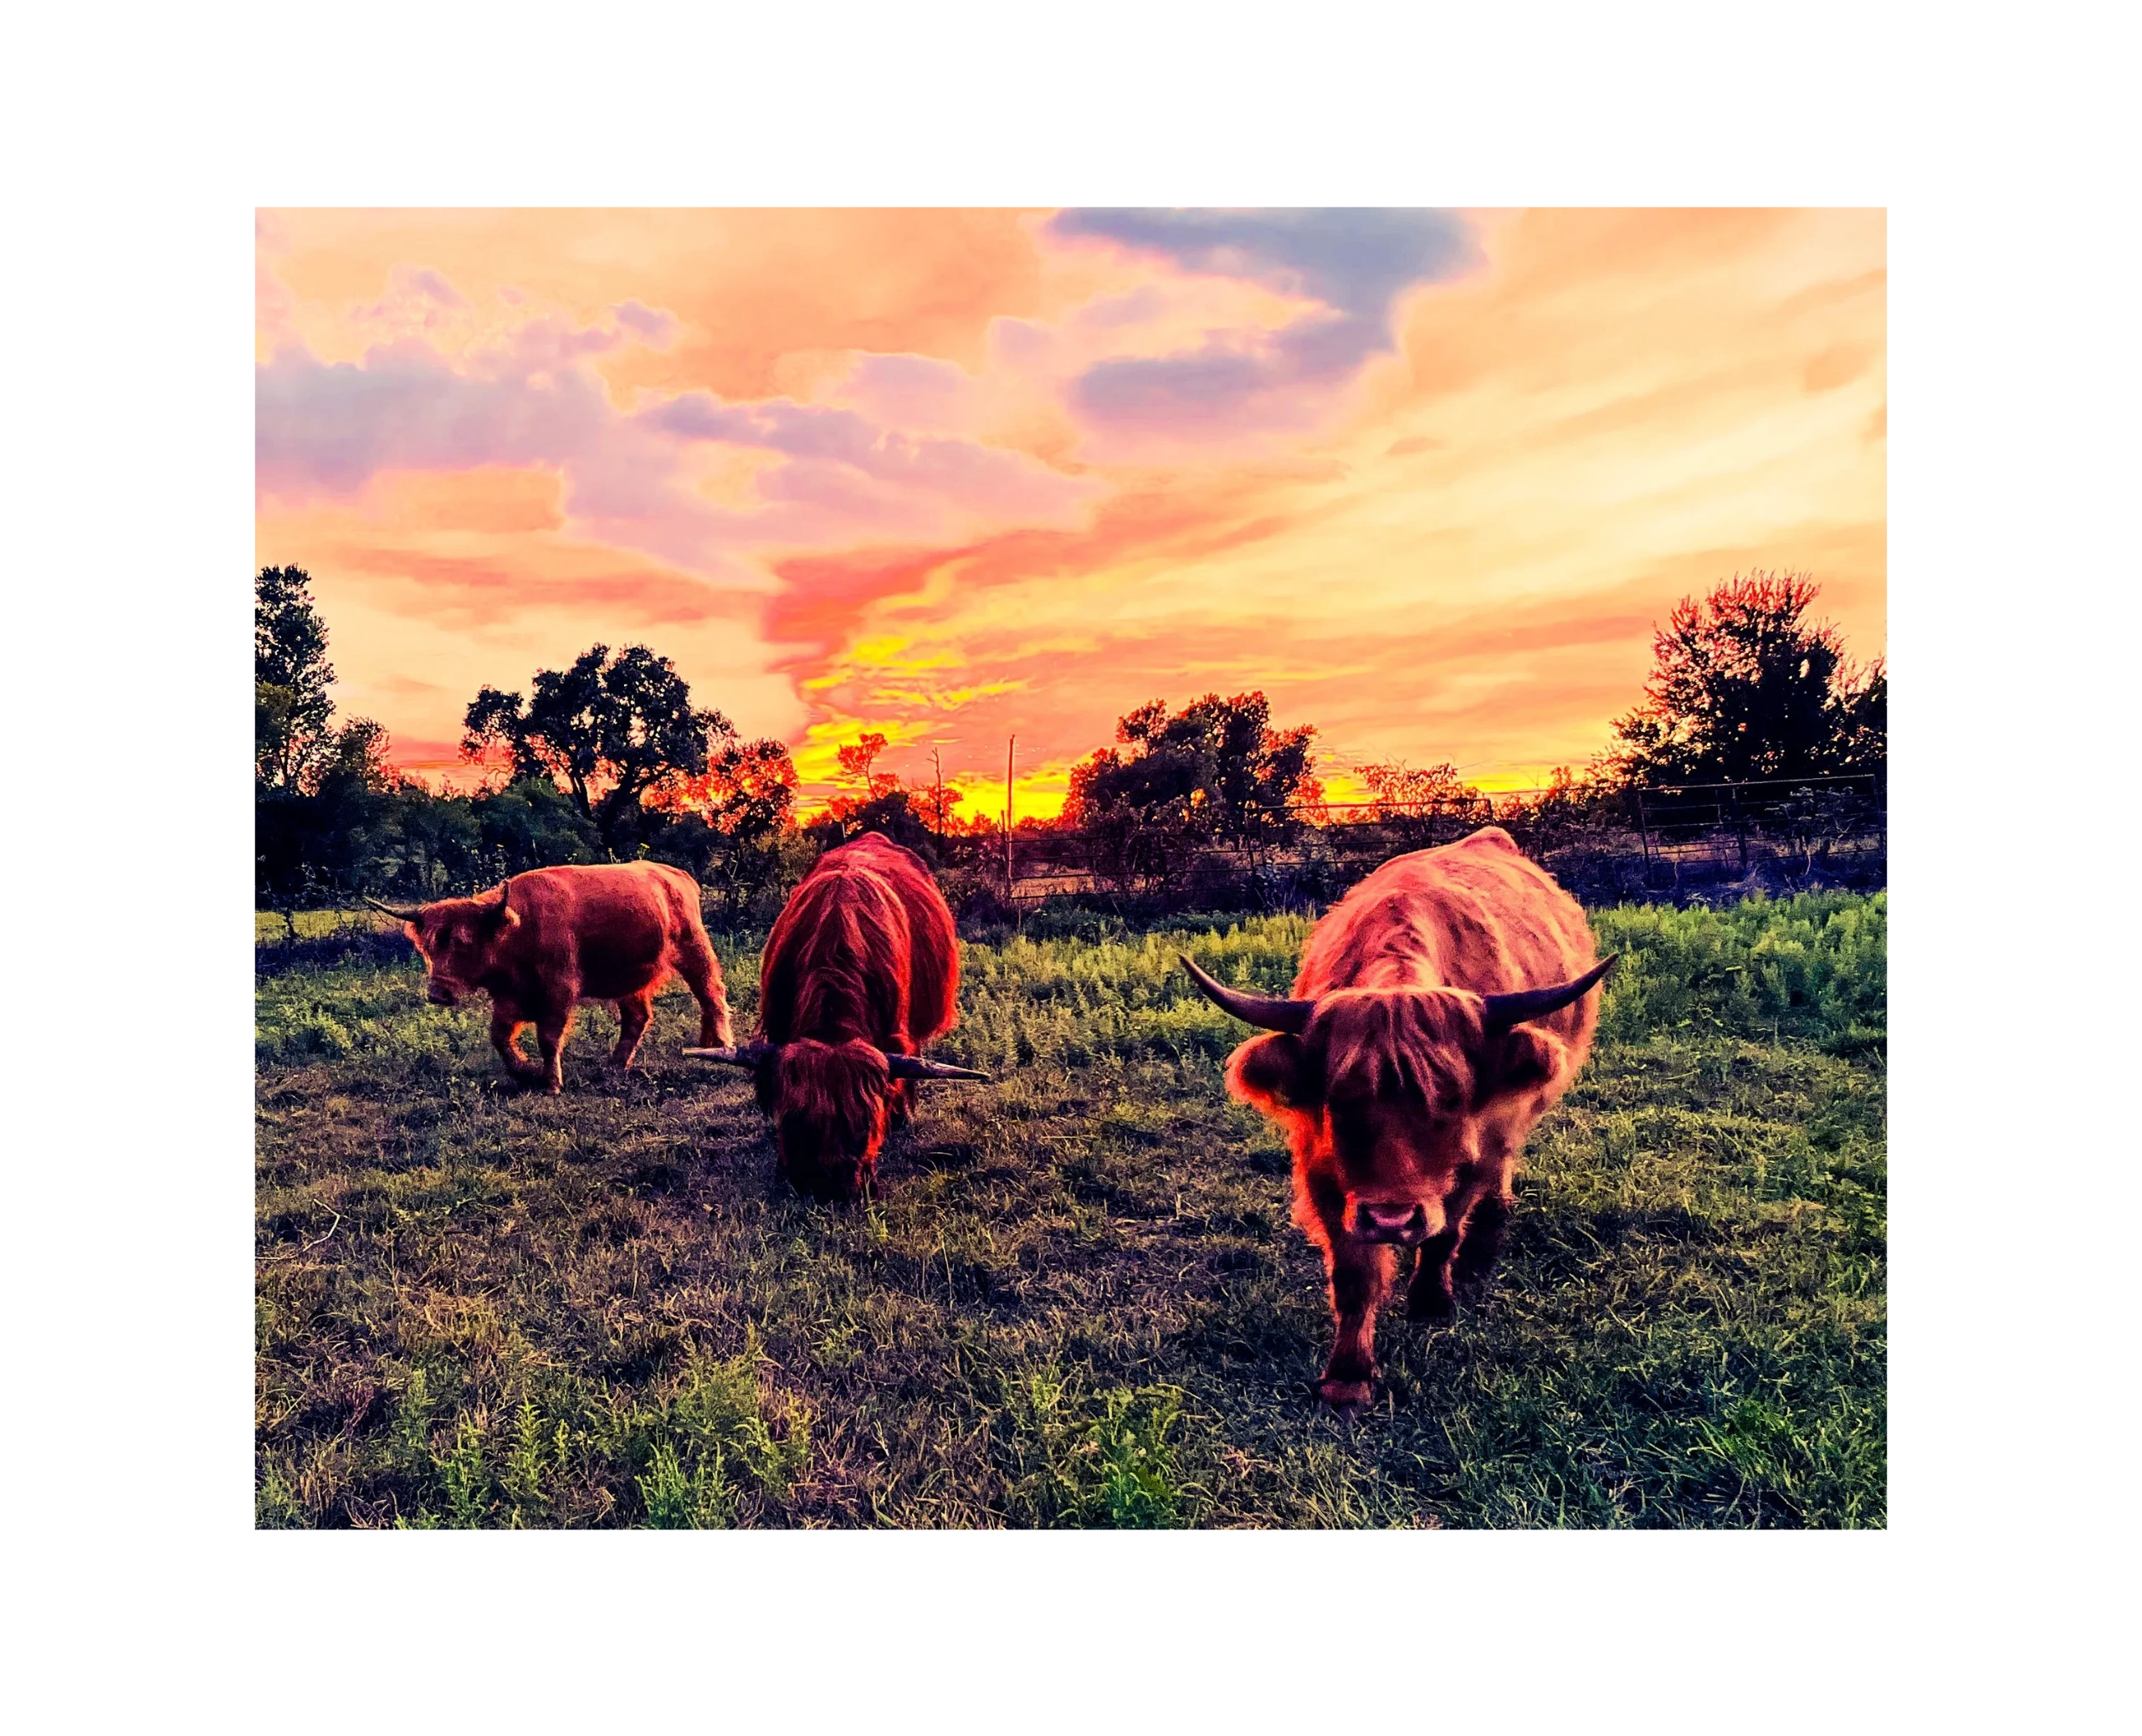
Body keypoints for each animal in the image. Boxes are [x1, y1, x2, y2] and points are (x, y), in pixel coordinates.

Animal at [364, 860, 732, 1091]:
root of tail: (674, 875)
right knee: (637, 1017)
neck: (519, 928)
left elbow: (548, 1037)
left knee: (711, 994)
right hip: (632, 979)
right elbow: (499, 1036)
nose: (438, 994)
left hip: (695, 950)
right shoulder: (509, 997)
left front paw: (551, 1083)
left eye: (464, 943)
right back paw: (615, 1066)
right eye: (428, 948)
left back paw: (720, 1044)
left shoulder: (558, 992)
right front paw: (526, 1073)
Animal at [1182, 826, 1611, 1412]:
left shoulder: (1472, 1154)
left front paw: (1431, 1300)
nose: (1392, 1220)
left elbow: (1445, 1230)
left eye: (1452, 1099)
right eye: (1340, 1100)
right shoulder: (1323, 1168)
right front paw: (1347, 1376)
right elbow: (1354, 1273)